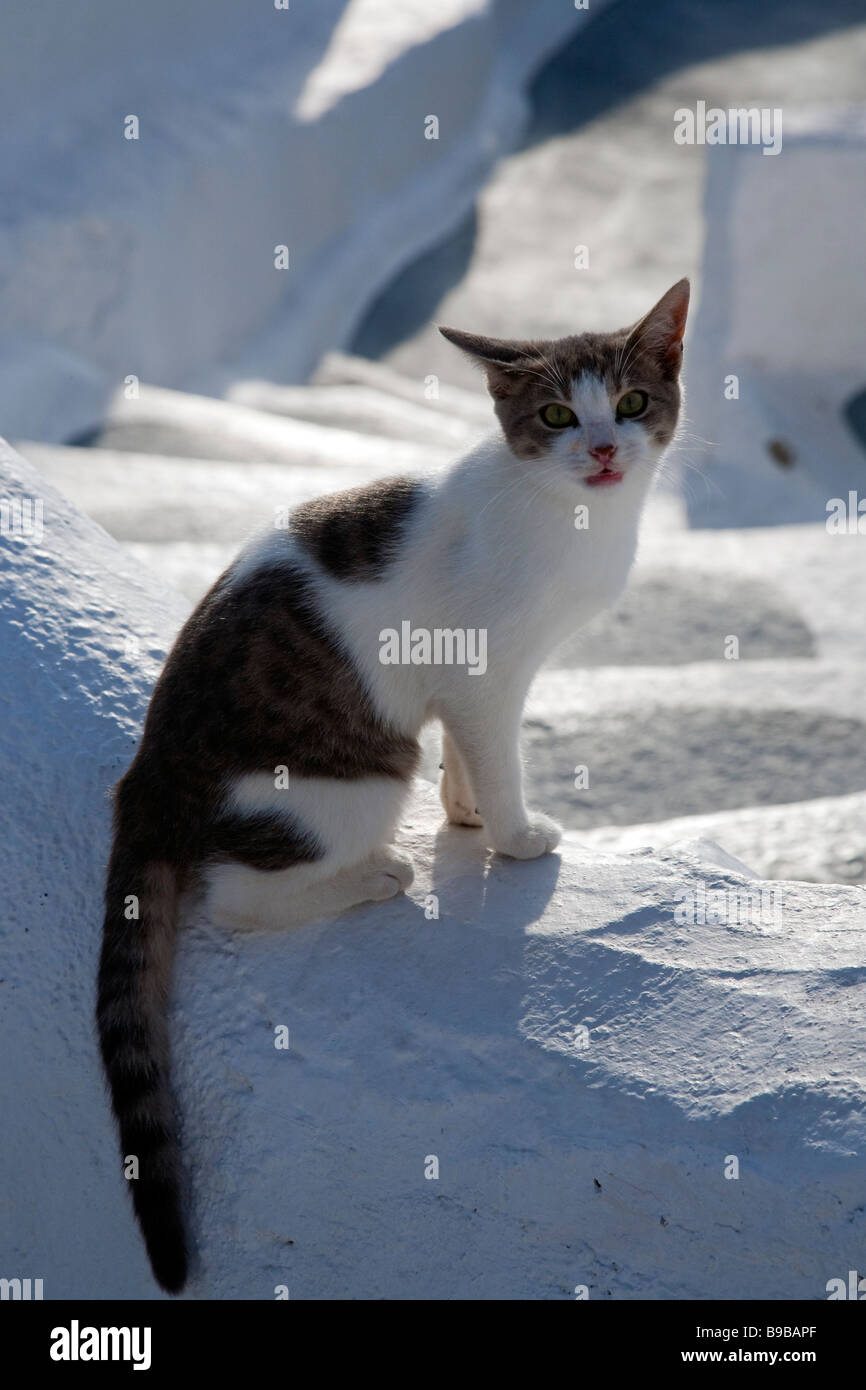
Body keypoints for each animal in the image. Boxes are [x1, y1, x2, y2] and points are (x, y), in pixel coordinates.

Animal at [94, 276, 692, 1295]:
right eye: (556, 416)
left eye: (634, 402)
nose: (606, 450)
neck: (564, 517)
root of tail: (150, 769)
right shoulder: (488, 670)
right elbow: (497, 748)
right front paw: (516, 837)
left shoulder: (462, 684)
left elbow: (466, 750)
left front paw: (466, 813)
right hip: (356, 776)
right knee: (240, 900)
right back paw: (374, 875)